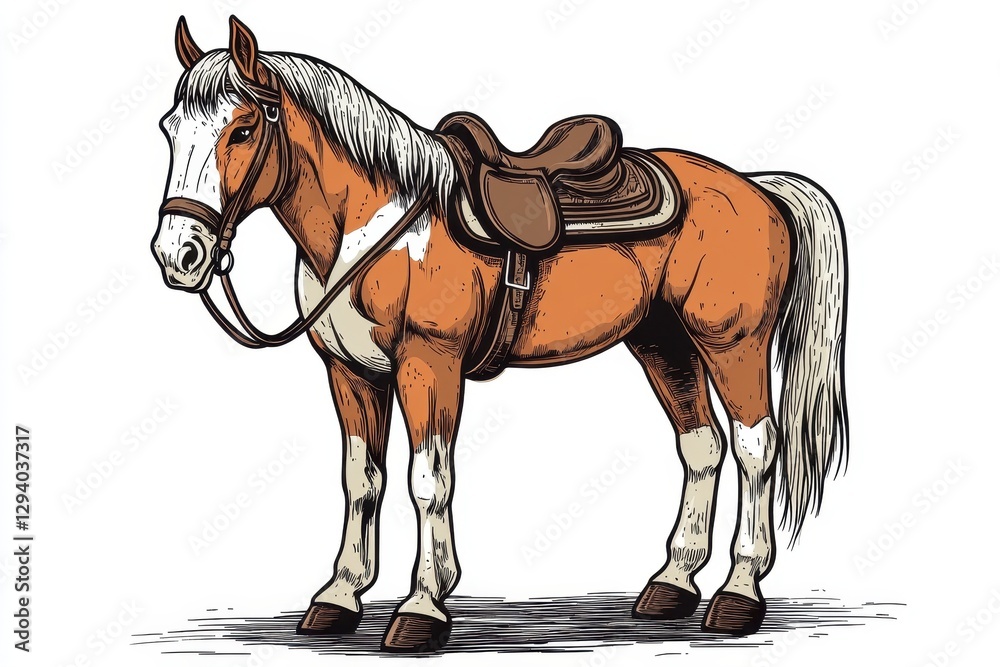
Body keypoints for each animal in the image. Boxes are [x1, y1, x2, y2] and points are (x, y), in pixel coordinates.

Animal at [151, 16, 848, 653]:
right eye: (169, 127)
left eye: (244, 128)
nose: (179, 253)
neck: (379, 226)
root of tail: (756, 187)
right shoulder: (349, 372)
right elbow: (361, 480)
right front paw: (339, 597)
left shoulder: (429, 367)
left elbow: (427, 480)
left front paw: (423, 607)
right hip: (663, 345)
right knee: (701, 446)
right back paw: (672, 585)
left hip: (733, 345)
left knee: (756, 446)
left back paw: (739, 595)